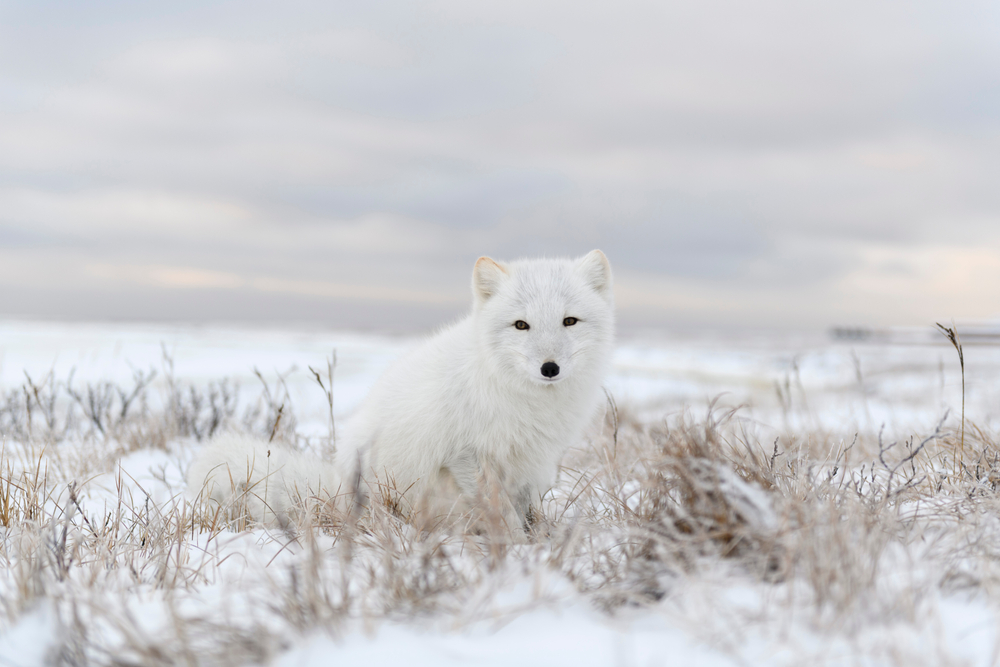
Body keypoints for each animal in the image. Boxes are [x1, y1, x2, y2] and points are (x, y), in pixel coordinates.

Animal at [187, 250, 615, 539]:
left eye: (569, 321)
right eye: (521, 325)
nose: (549, 368)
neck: (520, 395)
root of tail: (336, 485)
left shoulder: (530, 462)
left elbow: (522, 510)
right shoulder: (466, 454)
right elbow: (503, 514)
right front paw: (516, 549)